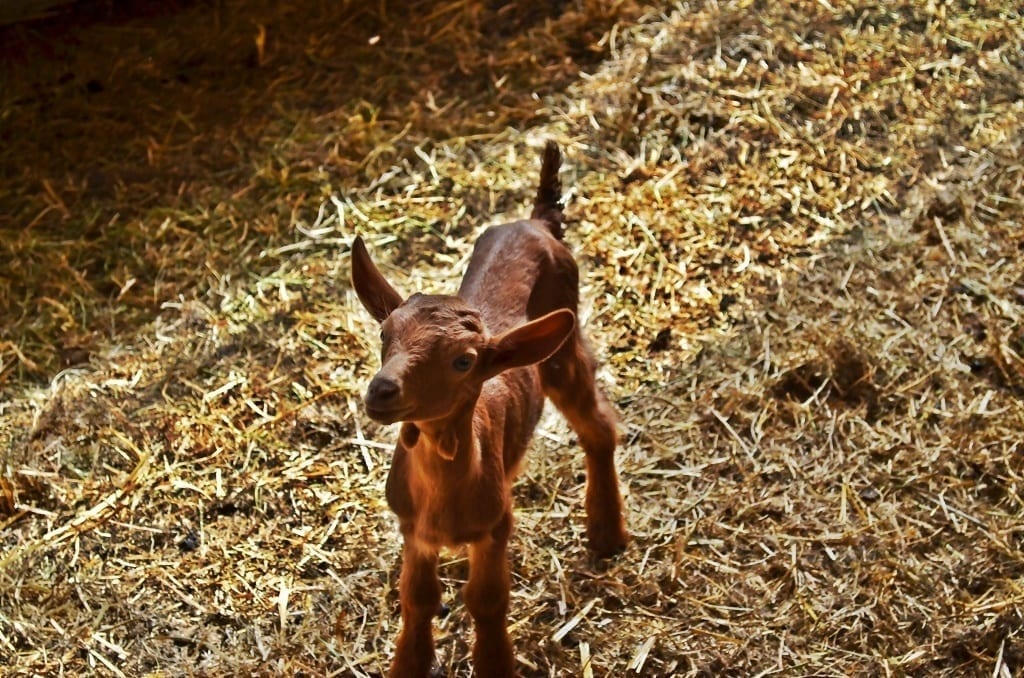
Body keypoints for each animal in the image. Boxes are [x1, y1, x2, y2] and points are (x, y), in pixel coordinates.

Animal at [350, 142, 627, 677]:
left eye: (464, 361)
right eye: (384, 333)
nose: (381, 390)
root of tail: (538, 220)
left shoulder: (495, 526)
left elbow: (487, 598)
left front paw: (495, 661)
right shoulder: (412, 528)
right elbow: (417, 598)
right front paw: (410, 662)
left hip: (562, 352)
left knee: (598, 425)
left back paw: (606, 531)